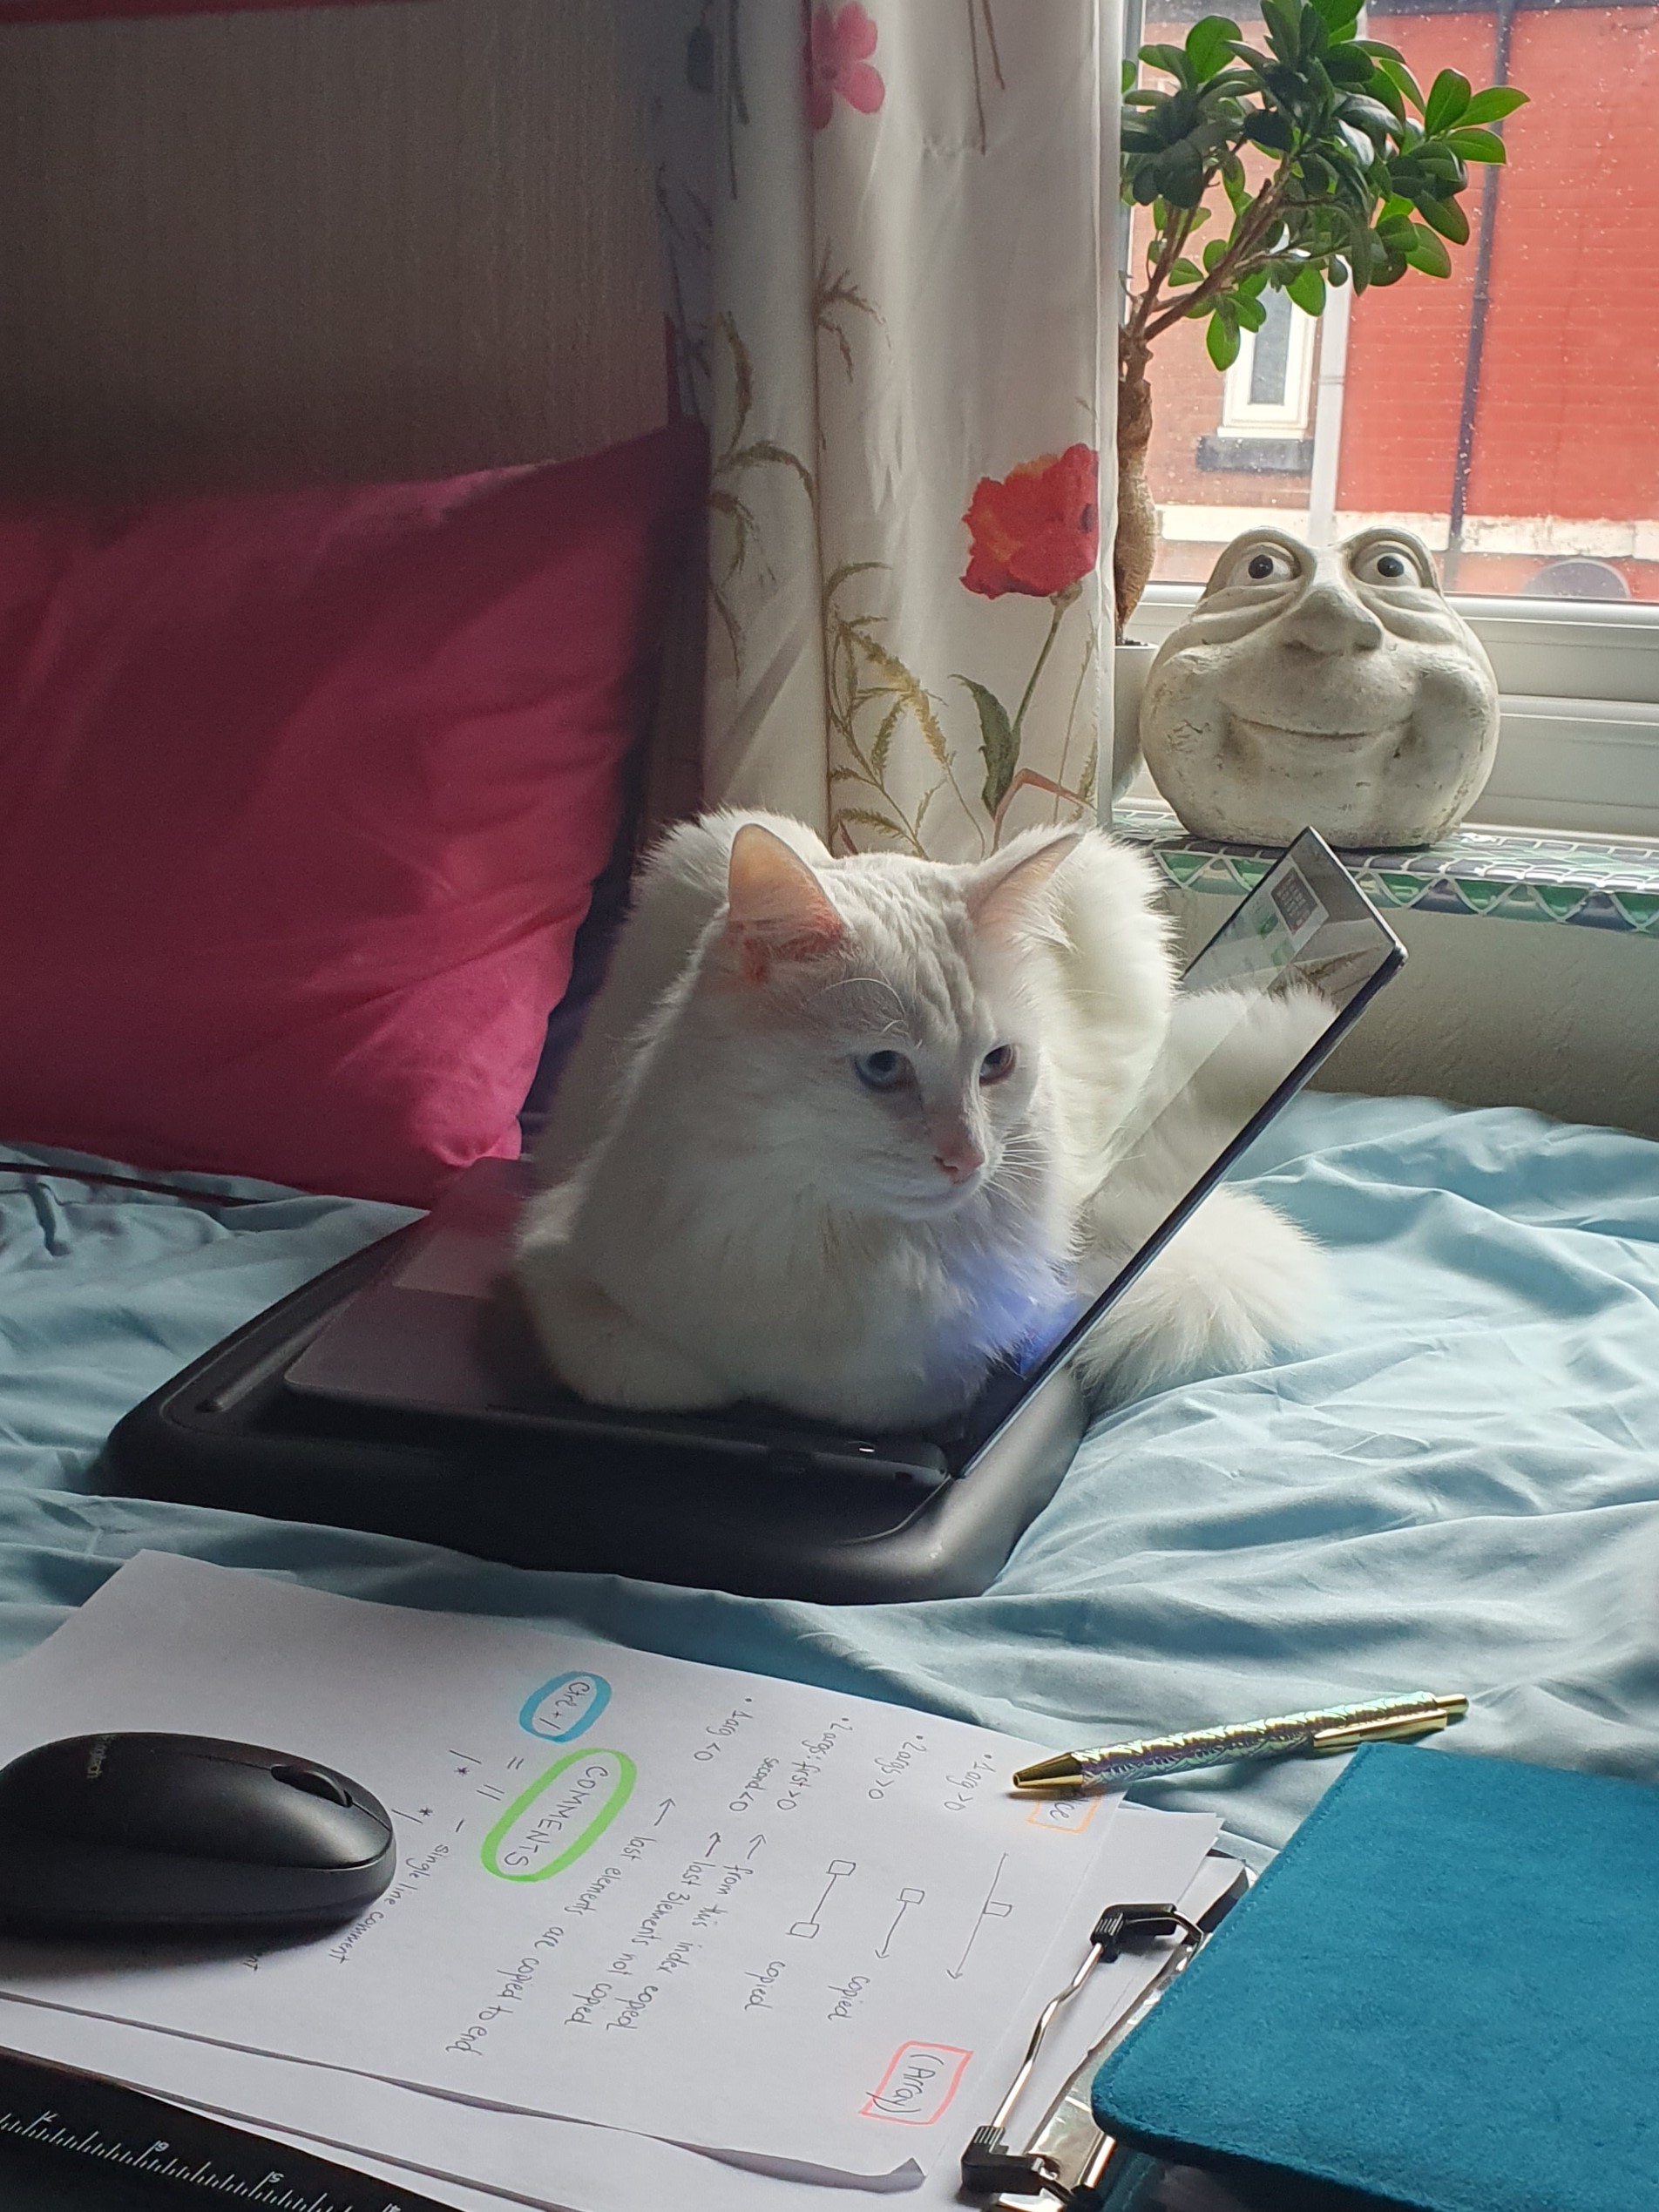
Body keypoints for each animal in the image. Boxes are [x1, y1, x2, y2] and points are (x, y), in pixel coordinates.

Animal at [519, 822, 1327, 1424]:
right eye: (883, 1067)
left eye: (996, 1062)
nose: (968, 1158)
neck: (853, 1245)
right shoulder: (560, 1262)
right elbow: (659, 1374)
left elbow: (893, 1390)